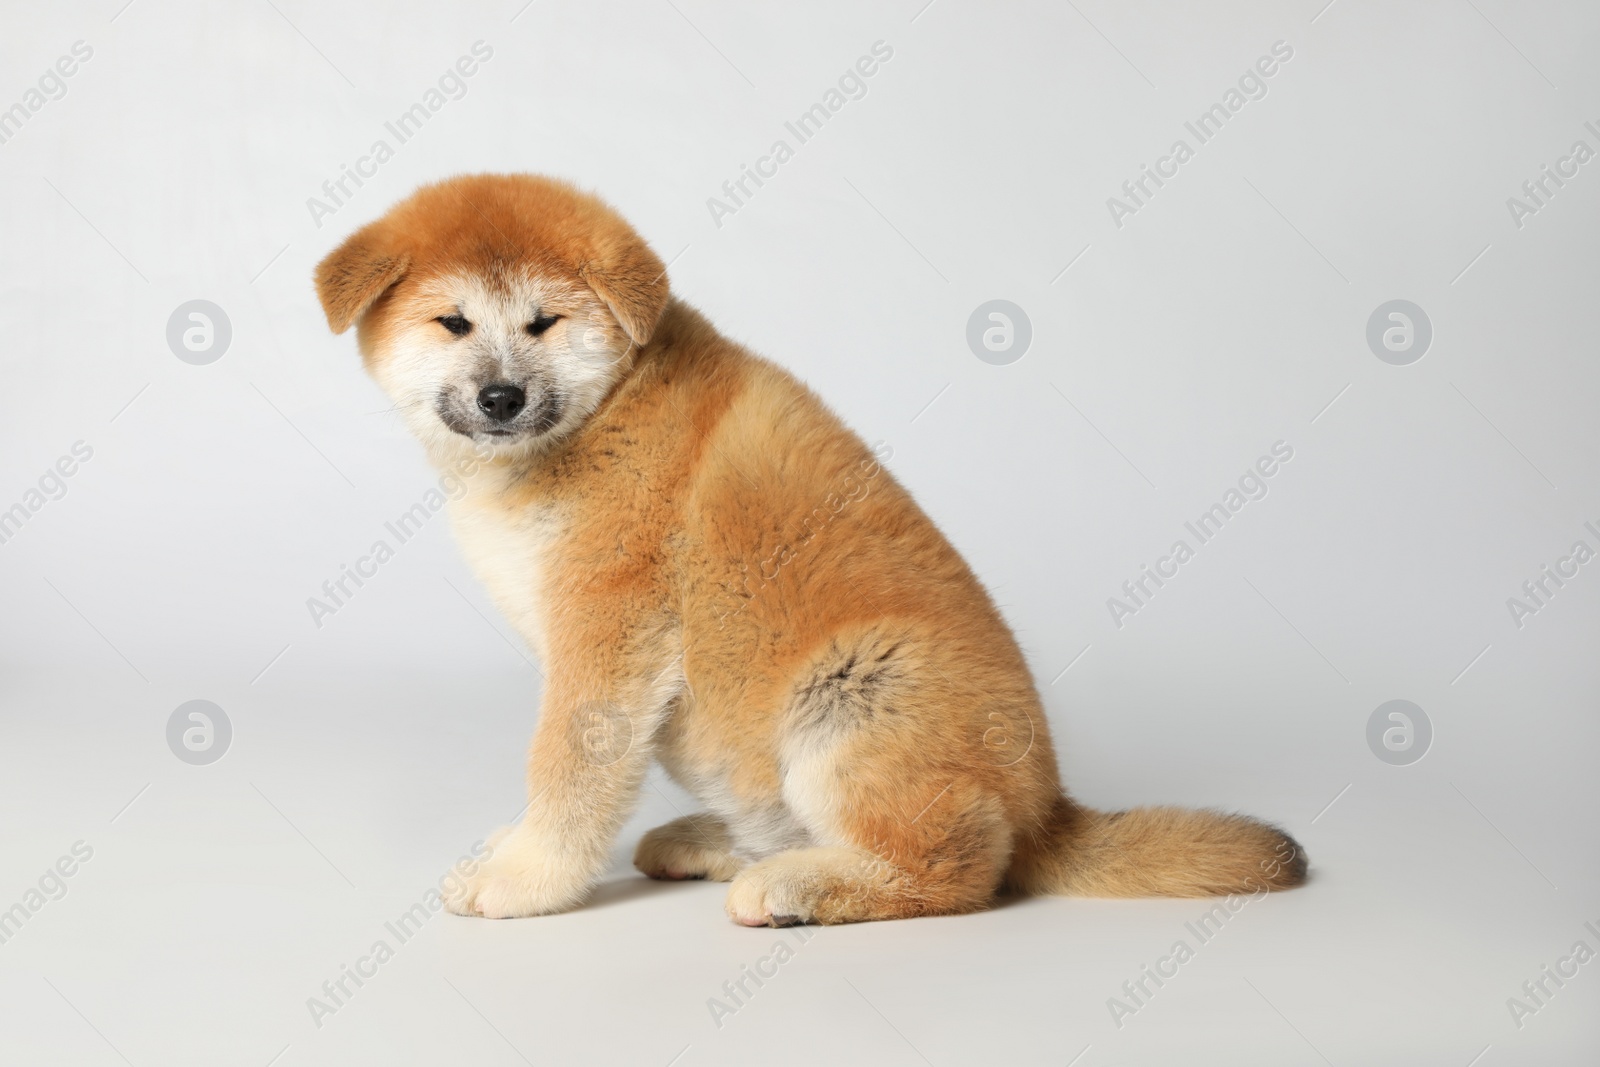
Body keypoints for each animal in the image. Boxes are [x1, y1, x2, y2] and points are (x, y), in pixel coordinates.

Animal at [308, 175, 1299, 927]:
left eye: (544, 322)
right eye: (454, 323)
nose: (502, 397)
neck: (604, 409)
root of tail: (1048, 807)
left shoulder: (608, 631)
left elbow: (568, 766)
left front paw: (525, 876)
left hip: (851, 695)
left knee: (962, 862)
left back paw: (796, 887)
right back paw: (719, 844)